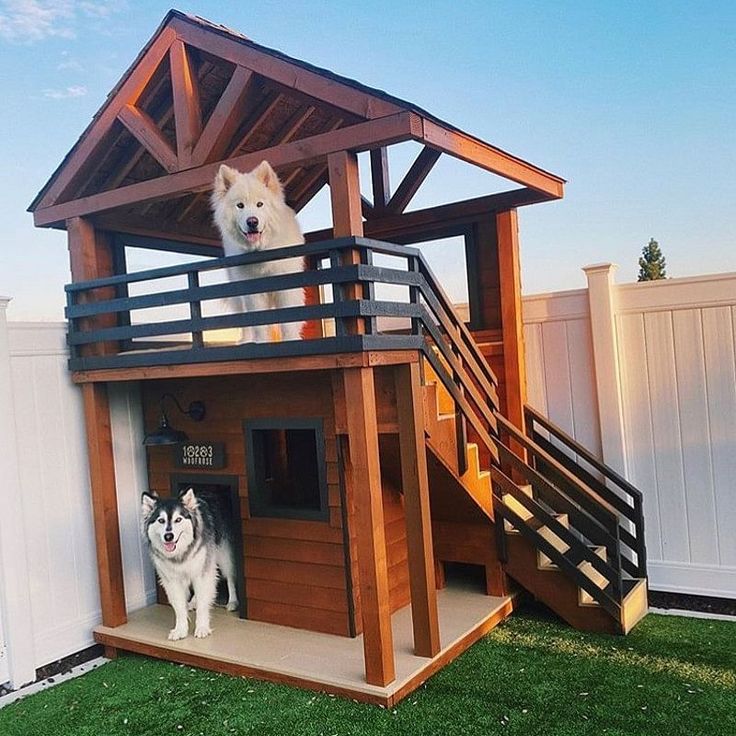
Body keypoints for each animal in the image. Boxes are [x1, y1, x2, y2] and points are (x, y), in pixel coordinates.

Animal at [211, 160, 306, 342]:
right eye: (240, 206)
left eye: (260, 204)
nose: (252, 221)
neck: (262, 252)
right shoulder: (252, 292)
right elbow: (258, 323)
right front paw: (260, 342)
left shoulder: (287, 288)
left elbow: (289, 322)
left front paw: (291, 340)